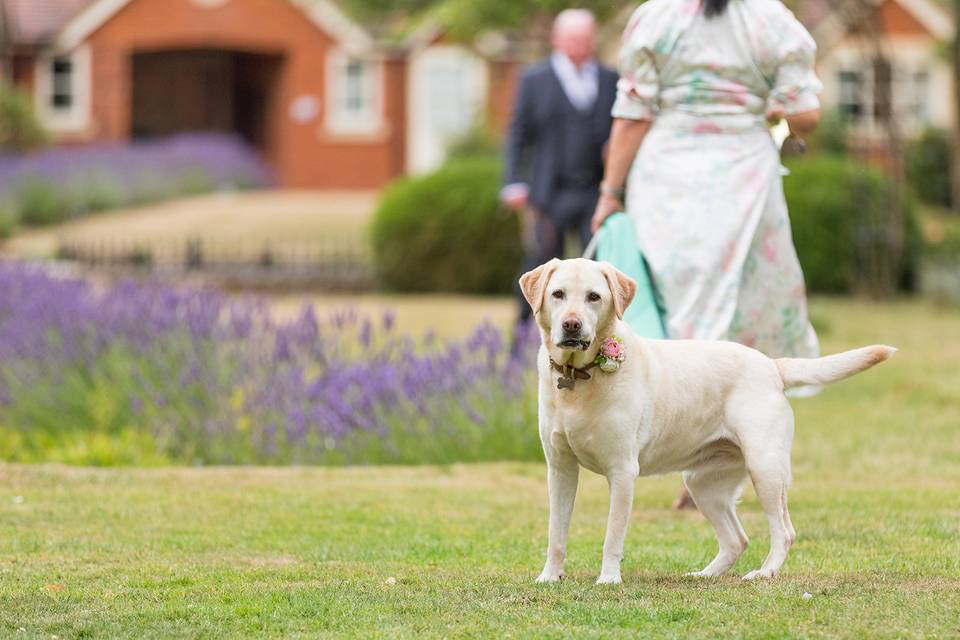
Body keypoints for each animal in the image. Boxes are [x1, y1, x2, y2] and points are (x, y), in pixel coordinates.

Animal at [520, 258, 896, 584]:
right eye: (558, 294)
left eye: (594, 297)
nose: (571, 324)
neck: (578, 378)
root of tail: (771, 364)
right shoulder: (560, 468)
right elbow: (556, 532)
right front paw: (549, 577)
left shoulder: (623, 471)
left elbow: (613, 535)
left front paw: (609, 579)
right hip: (703, 485)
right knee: (737, 539)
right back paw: (704, 575)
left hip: (765, 469)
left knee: (783, 531)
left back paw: (764, 572)